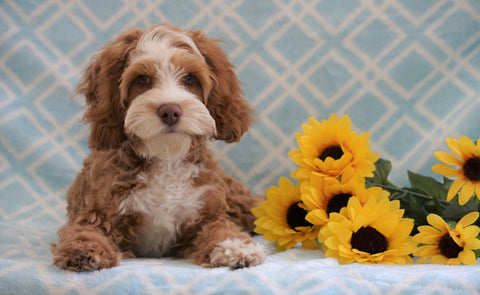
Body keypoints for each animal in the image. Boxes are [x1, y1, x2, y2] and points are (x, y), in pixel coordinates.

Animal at [52, 23, 266, 272]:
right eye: (142, 79)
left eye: (189, 78)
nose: (170, 111)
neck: (166, 158)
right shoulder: (97, 211)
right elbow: (85, 230)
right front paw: (84, 249)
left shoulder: (205, 213)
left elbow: (219, 230)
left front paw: (237, 247)